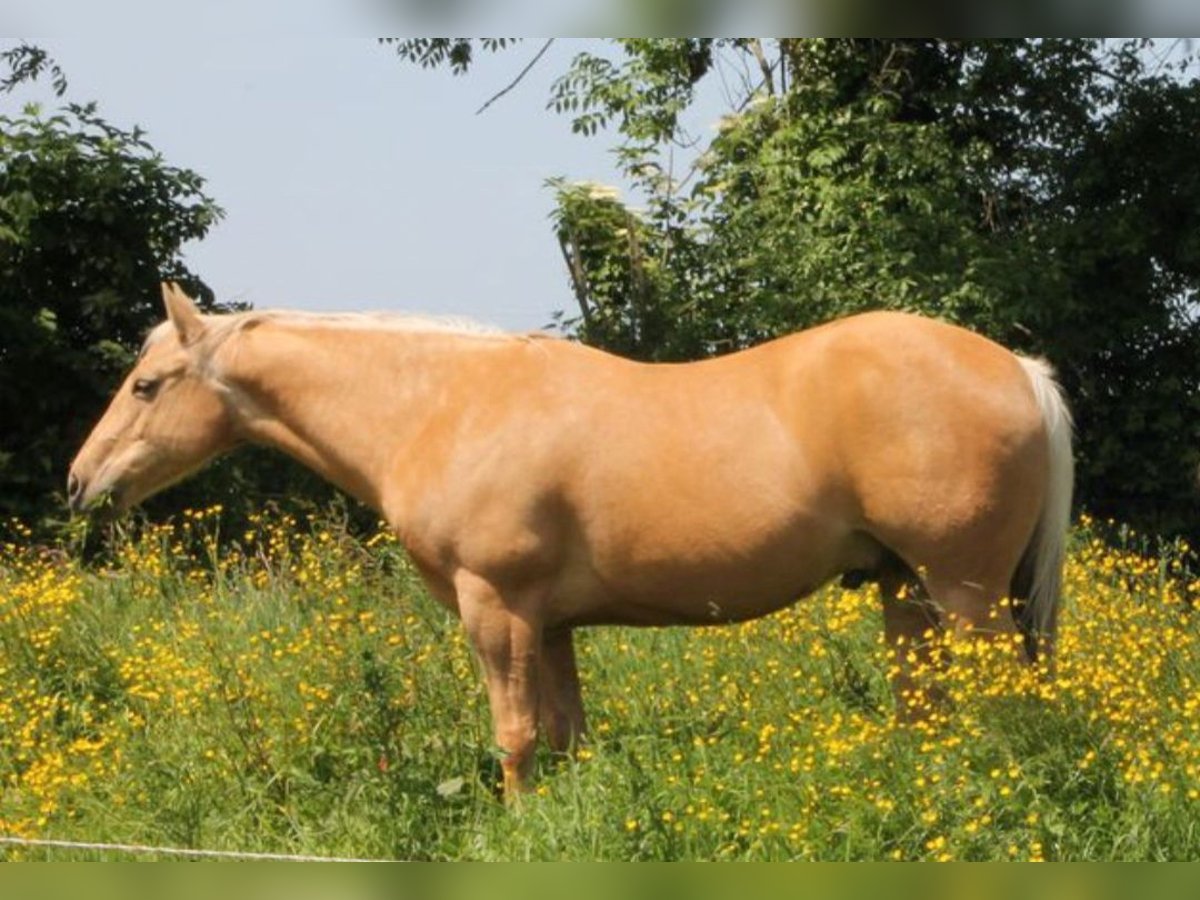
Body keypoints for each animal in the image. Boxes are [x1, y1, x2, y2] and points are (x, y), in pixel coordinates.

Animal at [70, 285, 1075, 801]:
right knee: (926, 709)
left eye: (148, 385)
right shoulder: (549, 625)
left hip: (964, 593)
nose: (82, 484)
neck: (442, 405)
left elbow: (514, 738)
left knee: (1002, 708)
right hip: (906, 588)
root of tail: (1018, 368)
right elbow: (563, 739)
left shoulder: (496, 606)